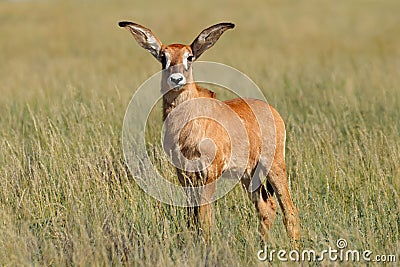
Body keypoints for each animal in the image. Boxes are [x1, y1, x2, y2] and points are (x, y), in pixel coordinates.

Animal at [119, 21, 300, 245]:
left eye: (189, 56)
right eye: (163, 56)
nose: (176, 79)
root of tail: (273, 111)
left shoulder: (209, 175)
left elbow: (205, 219)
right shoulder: (185, 176)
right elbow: (192, 218)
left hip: (274, 166)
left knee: (289, 209)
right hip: (248, 175)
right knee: (267, 207)